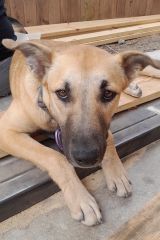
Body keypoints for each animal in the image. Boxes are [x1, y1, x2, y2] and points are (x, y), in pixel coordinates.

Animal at [0, 38, 159, 226]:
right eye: (62, 93)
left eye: (108, 94)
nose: (87, 158)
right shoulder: (6, 131)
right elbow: (55, 157)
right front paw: (80, 198)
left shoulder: (104, 129)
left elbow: (109, 140)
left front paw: (116, 172)